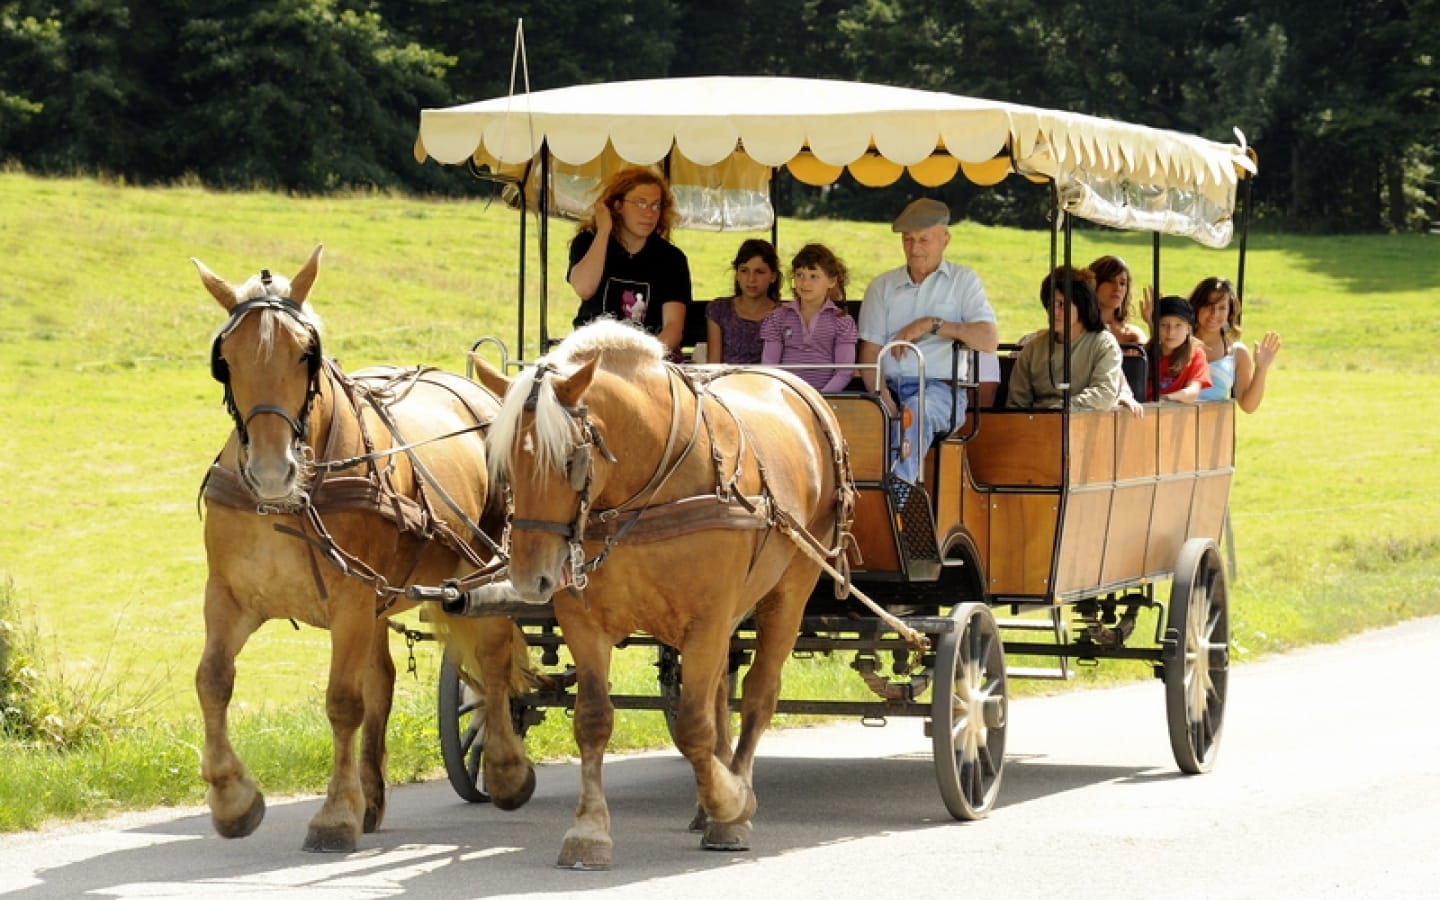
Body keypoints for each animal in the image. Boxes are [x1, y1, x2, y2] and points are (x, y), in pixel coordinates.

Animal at [195, 243, 535, 846]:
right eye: (225, 359)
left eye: (306, 355)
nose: (271, 471)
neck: (289, 501)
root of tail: (481, 390)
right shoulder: (229, 597)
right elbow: (213, 681)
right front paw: (233, 800)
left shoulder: (350, 602)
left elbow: (342, 702)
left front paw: (335, 815)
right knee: (385, 681)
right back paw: (374, 798)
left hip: (487, 568)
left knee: (493, 663)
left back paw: (505, 771)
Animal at [478, 319, 846, 869]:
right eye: (499, 461)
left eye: (569, 459)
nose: (529, 579)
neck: (647, 486)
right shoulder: (585, 621)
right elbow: (594, 719)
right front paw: (589, 830)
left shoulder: (708, 619)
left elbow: (694, 725)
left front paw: (732, 803)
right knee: (719, 695)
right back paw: (707, 801)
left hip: (791, 588)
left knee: (758, 693)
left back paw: (730, 798)